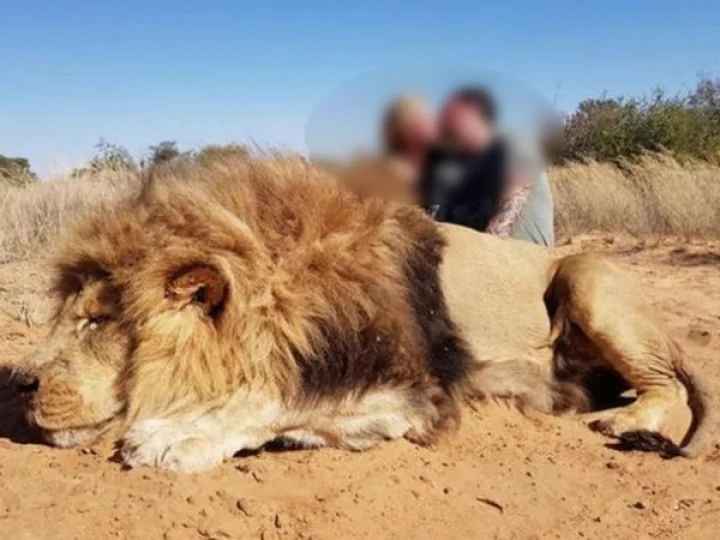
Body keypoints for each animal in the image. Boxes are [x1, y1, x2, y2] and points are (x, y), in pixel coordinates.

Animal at [11, 155, 708, 472]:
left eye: (98, 321)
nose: (21, 383)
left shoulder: (422, 393)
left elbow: (279, 398)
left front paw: (177, 436)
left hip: (587, 274)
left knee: (668, 385)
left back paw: (626, 422)